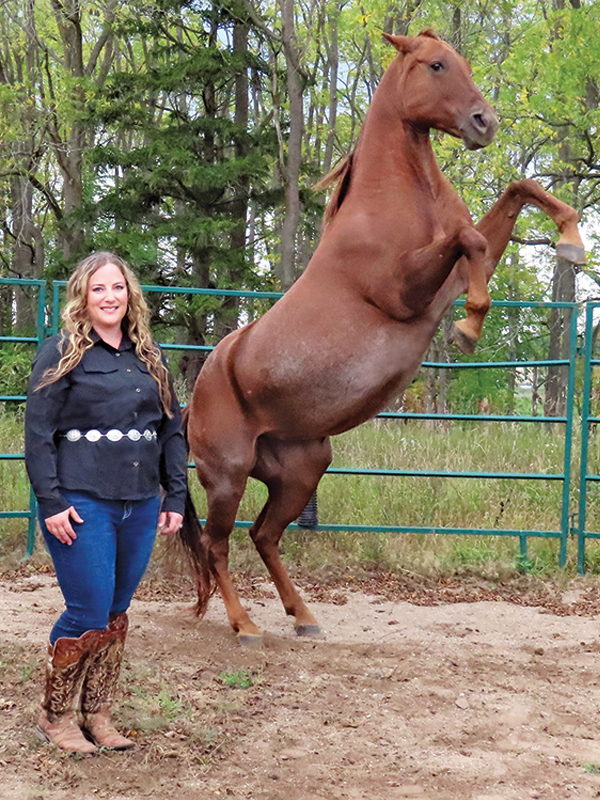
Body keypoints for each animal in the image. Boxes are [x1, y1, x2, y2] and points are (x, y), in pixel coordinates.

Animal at [181, 30, 585, 645]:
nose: (484, 122)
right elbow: (469, 238)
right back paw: (245, 624)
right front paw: (469, 327)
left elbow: (514, 194)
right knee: (217, 544)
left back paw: (304, 617)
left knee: (264, 535)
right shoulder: (406, 293)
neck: (395, 202)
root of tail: (194, 395)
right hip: (226, 477)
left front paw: (572, 241)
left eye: (464, 63)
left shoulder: (451, 278)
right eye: (437, 65)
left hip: (301, 471)